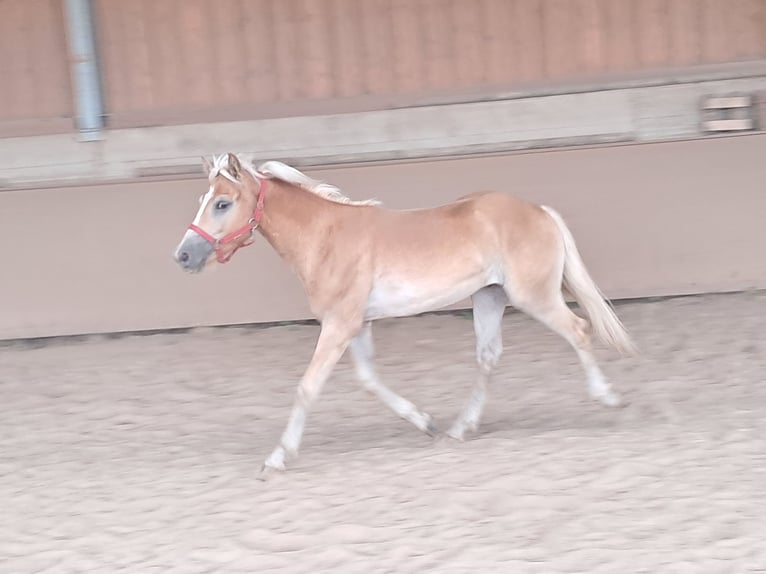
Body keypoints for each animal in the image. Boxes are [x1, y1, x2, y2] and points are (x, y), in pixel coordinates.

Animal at [174, 153, 636, 476]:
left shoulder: (339, 324)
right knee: (488, 357)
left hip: (534, 296)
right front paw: (427, 423)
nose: (182, 256)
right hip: (489, 297)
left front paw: (277, 458)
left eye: (221, 203)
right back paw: (459, 429)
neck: (325, 239)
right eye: (202, 200)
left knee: (578, 330)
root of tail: (539, 211)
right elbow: (369, 381)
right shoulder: (356, 323)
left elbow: (307, 387)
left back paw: (610, 398)